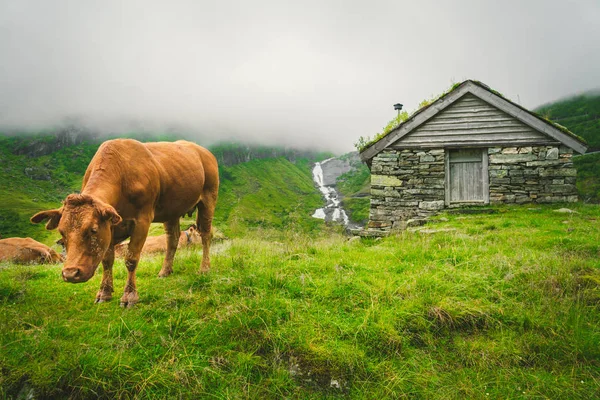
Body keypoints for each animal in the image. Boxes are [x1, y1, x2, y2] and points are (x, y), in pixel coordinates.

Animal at [30, 139, 218, 308]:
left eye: (93, 230)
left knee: (205, 235)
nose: (70, 274)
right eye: (62, 232)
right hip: (172, 209)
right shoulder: (110, 226)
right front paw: (104, 293)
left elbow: (131, 259)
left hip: (209, 198)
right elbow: (107, 260)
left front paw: (130, 296)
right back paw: (165, 271)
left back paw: (205, 268)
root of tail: (204, 151)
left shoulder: (142, 220)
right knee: (172, 239)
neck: (121, 175)